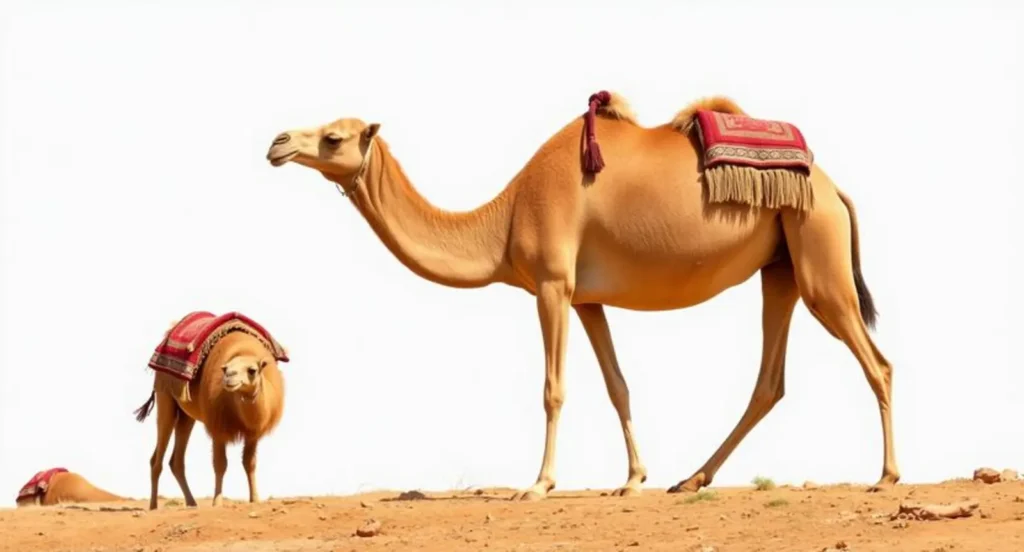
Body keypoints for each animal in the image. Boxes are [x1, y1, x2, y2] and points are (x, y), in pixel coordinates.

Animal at [134, 330, 286, 510]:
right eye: (225, 368)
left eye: (252, 370)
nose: (229, 377)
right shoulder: (218, 426)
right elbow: (220, 464)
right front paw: (217, 502)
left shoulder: (253, 433)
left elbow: (250, 463)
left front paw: (255, 499)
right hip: (164, 392)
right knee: (158, 453)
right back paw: (153, 505)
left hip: (186, 413)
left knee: (176, 459)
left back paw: (191, 503)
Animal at [264, 92, 898, 501]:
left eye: (334, 137)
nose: (277, 142)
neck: (505, 217)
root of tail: (833, 188)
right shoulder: (586, 298)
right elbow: (617, 385)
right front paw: (634, 479)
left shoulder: (551, 282)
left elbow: (553, 387)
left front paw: (539, 484)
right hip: (781, 266)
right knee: (770, 382)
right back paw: (691, 479)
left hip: (819, 256)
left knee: (878, 363)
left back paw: (887, 476)